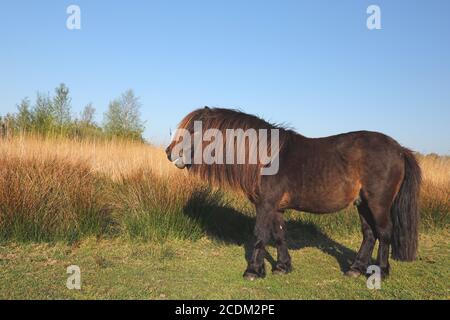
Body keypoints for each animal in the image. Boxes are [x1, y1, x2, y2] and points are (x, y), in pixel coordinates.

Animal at [166, 107, 422, 280]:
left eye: (193, 129)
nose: (168, 152)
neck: (265, 157)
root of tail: (399, 149)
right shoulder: (276, 208)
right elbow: (279, 235)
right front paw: (282, 267)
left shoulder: (265, 205)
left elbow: (260, 234)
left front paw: (253, 271)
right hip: (362, 203)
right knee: (369, 234)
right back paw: (355, 269)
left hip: (378, 203)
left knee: (384, 233)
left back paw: (380, 271)